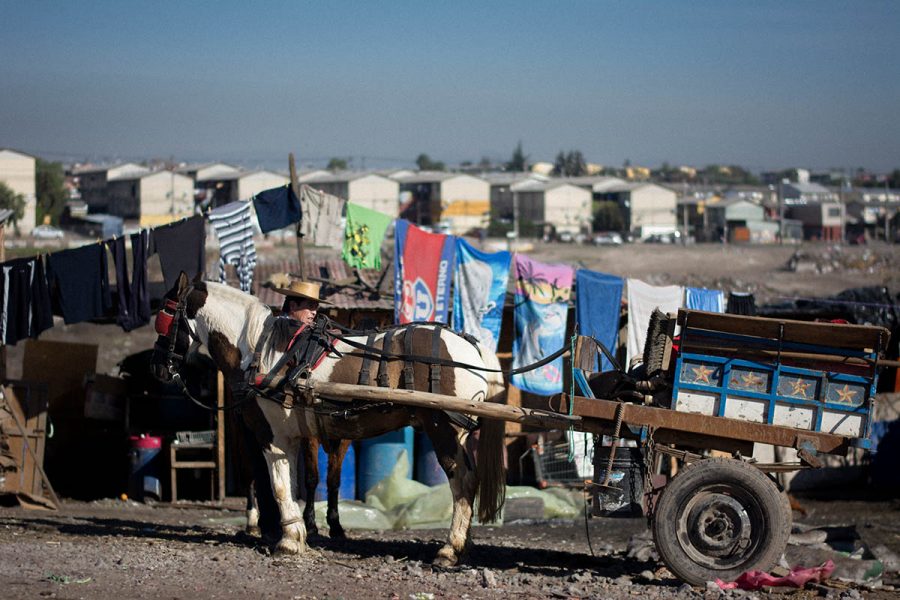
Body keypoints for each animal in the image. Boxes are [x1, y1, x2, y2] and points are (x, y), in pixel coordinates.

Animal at [151, 274, 510, 564]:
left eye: (164, 316)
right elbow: (295, 484)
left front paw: (289, 542)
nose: (158, 367)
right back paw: (463, 545)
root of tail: (472, 347)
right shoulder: (294, 438)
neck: (261, 351)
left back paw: (450, 549)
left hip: (443, 428)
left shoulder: (273, 436)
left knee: (462, 480)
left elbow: (280, 487)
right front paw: (299, 534)